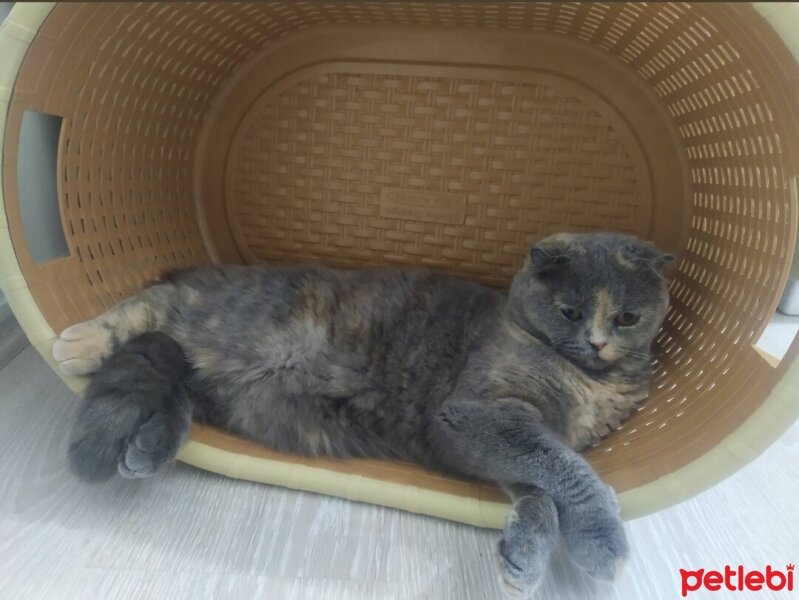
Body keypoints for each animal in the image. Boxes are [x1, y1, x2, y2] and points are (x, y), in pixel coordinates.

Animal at [53, 233, 672, 596]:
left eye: (627, 316)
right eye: (569, 311)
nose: (596, 343)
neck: (592, 384)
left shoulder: (497, 444)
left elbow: (541, 488)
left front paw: (523, 558)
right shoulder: (478, 415)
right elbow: (567, 472)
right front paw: (604, 544)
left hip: (216, 382)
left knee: (176, 384)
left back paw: (146, 448)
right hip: (225, 318)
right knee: (148, 307)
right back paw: (78, 343)